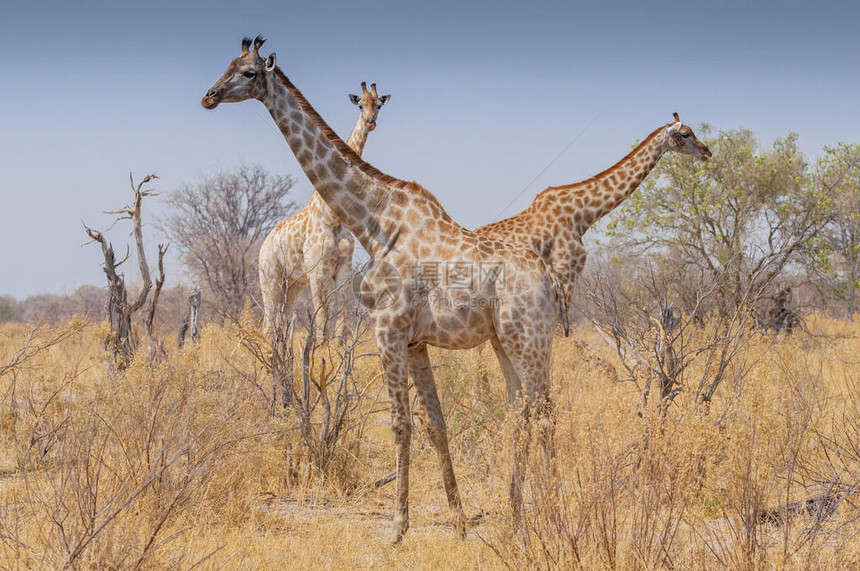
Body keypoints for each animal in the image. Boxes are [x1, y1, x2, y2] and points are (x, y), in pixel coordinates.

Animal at [255, 80, 390, 344]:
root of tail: (264, 244)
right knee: (268, 324)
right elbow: (320, 322)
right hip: (270, 278)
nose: (370, 122)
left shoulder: (343, 270)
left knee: (281, 321)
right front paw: (319, 349)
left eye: (379, 104)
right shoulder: (317, 272)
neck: (333, 217)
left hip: (292, 283)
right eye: (360, 104)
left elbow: (339, 320)